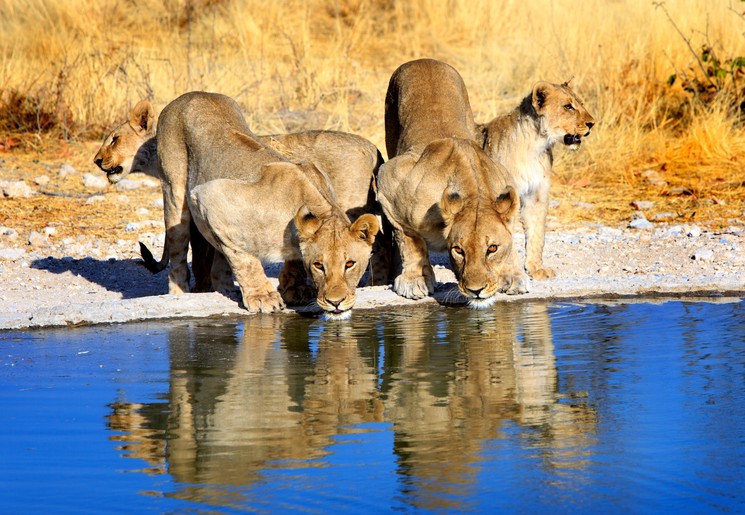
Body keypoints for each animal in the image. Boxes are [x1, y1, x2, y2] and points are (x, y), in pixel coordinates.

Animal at [93, 102, 392, 294]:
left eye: (114, 139)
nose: (97, 160)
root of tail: (371, 147)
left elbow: (202, 257)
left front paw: (202, 288)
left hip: (353, 208)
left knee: (378, 245)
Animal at [374, 57, 528, 306]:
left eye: (492, 248)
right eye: (458, 250)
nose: (476, 290)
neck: (474, 194)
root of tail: (423, 59)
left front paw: (512, 274)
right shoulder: (389, 182)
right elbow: (410, 241)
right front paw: (415, 280)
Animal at [480, 78, 596, 280]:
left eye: (581, 103)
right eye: (568, 107)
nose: (592, 123)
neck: (535, 145)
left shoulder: (536, 194)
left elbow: (537, 234)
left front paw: (535, 269)